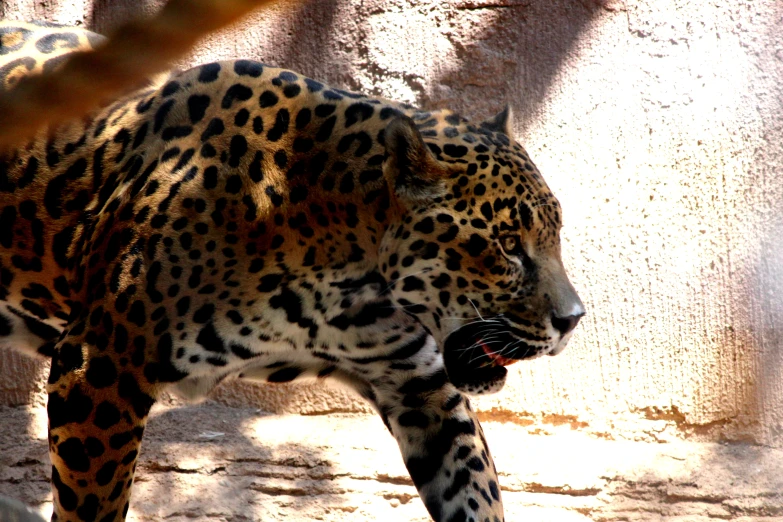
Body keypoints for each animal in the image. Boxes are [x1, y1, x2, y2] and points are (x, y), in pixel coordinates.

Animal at [0, 18, 584, 520]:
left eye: (553, 236)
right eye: (508, 246)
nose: (573, 319)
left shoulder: (419, 385)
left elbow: (474, 488)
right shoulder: (100, 365)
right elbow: (93, 503)